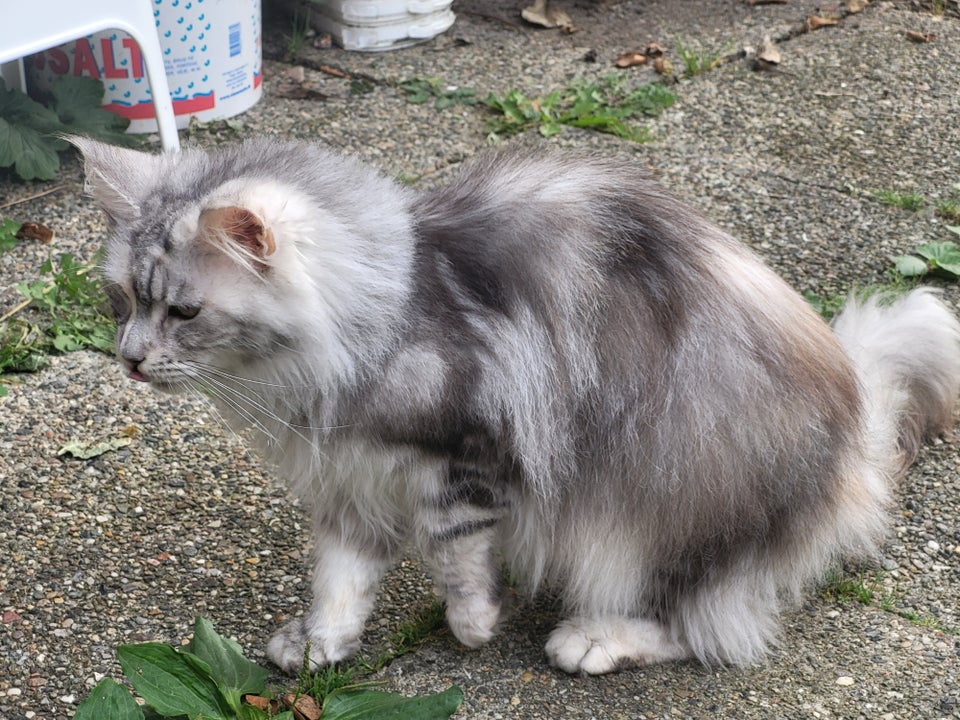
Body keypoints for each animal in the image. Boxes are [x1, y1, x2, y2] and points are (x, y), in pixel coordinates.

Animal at [75, 136, 960, 676]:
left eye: (184, 312)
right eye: (122, 302)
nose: (130, 361)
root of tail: (855, 453)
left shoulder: (464, 455)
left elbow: (454, 550)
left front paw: (470, 626)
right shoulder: (349, 480)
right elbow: (340, 578)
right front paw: (324, 645)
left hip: (662, 503)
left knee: (710, 625)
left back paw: (593, 639)